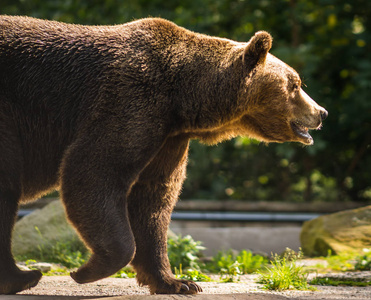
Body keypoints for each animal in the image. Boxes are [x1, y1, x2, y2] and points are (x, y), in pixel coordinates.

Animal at [0, 15, 328, 294]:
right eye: (295, 84)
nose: (321, 112)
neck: (183, 98)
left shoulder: (168, 138)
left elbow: (152, 200)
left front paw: (178, 282)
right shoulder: (129, 101)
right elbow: (93, 172)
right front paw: (86, 270)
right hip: (10, 116)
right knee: (8, 187)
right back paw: (24, 276)